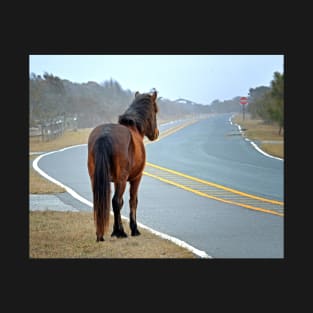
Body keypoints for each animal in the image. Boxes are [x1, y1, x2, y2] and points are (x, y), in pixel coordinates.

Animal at [86, 89, 158, 240]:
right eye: (156, 110)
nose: (156, 133)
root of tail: (105, 134)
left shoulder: (114, 181)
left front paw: (115, 229)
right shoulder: (136, 178)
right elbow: (132, 201)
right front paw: (133, 229)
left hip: (96, 178)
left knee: (102, 201)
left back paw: (100, 234)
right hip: (123, 180)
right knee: (116, 201)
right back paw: (121, 232)